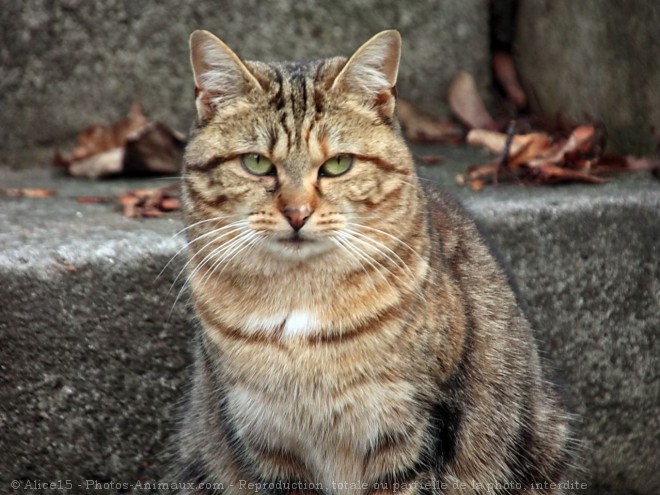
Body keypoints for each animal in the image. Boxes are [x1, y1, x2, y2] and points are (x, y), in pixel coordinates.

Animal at [175, 29, 572, 494]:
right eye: (256, 162)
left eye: (338, 164)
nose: (296, 213)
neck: (298, 302)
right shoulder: (264, 441)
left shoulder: (411, 431)